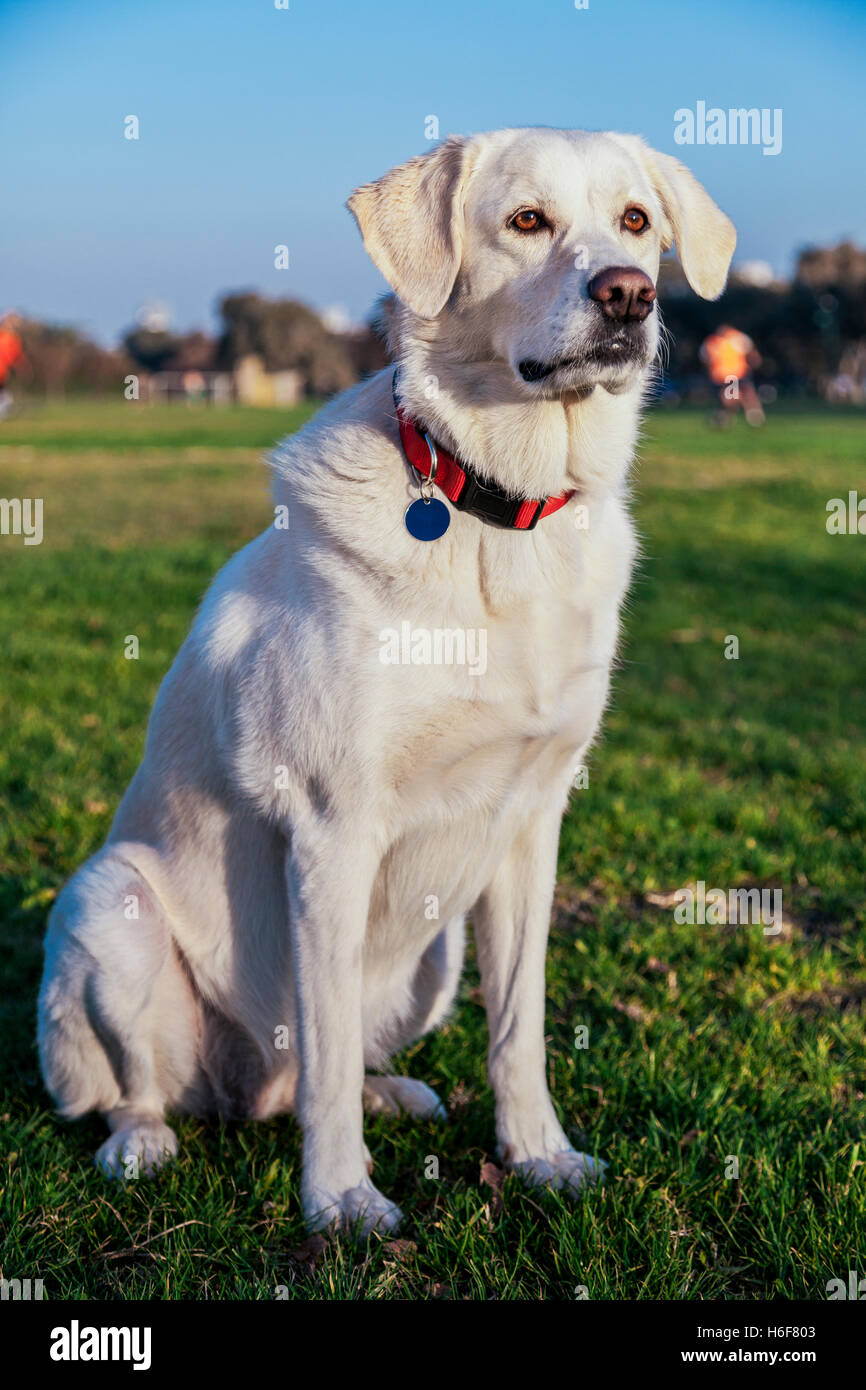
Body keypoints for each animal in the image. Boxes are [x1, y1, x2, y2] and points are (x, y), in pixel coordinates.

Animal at [37, 127, 733, 1228]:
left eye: (635, 221)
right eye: (526, 220)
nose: (628, 295)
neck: (500, 512)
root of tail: (241, 1090)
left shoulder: (529, 823)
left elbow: (519, 1030)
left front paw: (537, 1156)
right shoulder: (333, 829)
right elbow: (322, 1050)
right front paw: (341, 1204)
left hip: (434, 958)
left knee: (321, 1071)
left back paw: (393, 1094)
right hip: (112, 906)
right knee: (160, 1088)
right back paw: (145, 1143)